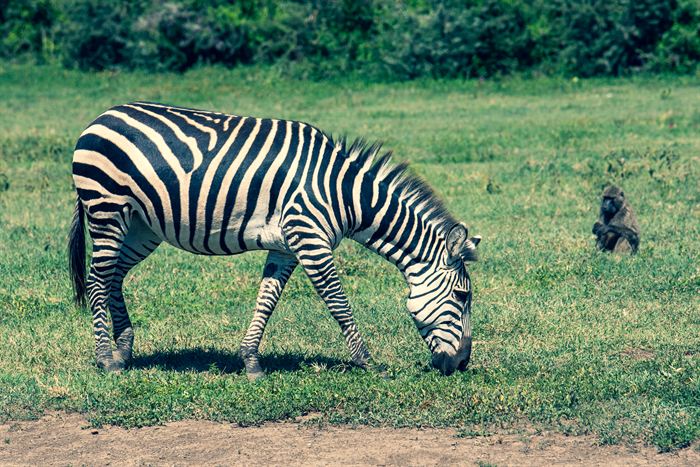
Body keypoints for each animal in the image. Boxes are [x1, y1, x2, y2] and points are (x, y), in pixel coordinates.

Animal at [68, 102, 481, 379]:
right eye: (463, 297)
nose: (461, 365)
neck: (344, 194)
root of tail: (101, 117)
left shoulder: (286, 248)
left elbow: (267, 301)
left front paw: (251, 363)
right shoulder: (311, 240)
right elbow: (339, 304)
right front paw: (367, 362)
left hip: (141, 227)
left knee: (114, 278)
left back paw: (124, 351)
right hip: (107, 209)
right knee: (97, 280)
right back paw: (106, 359)